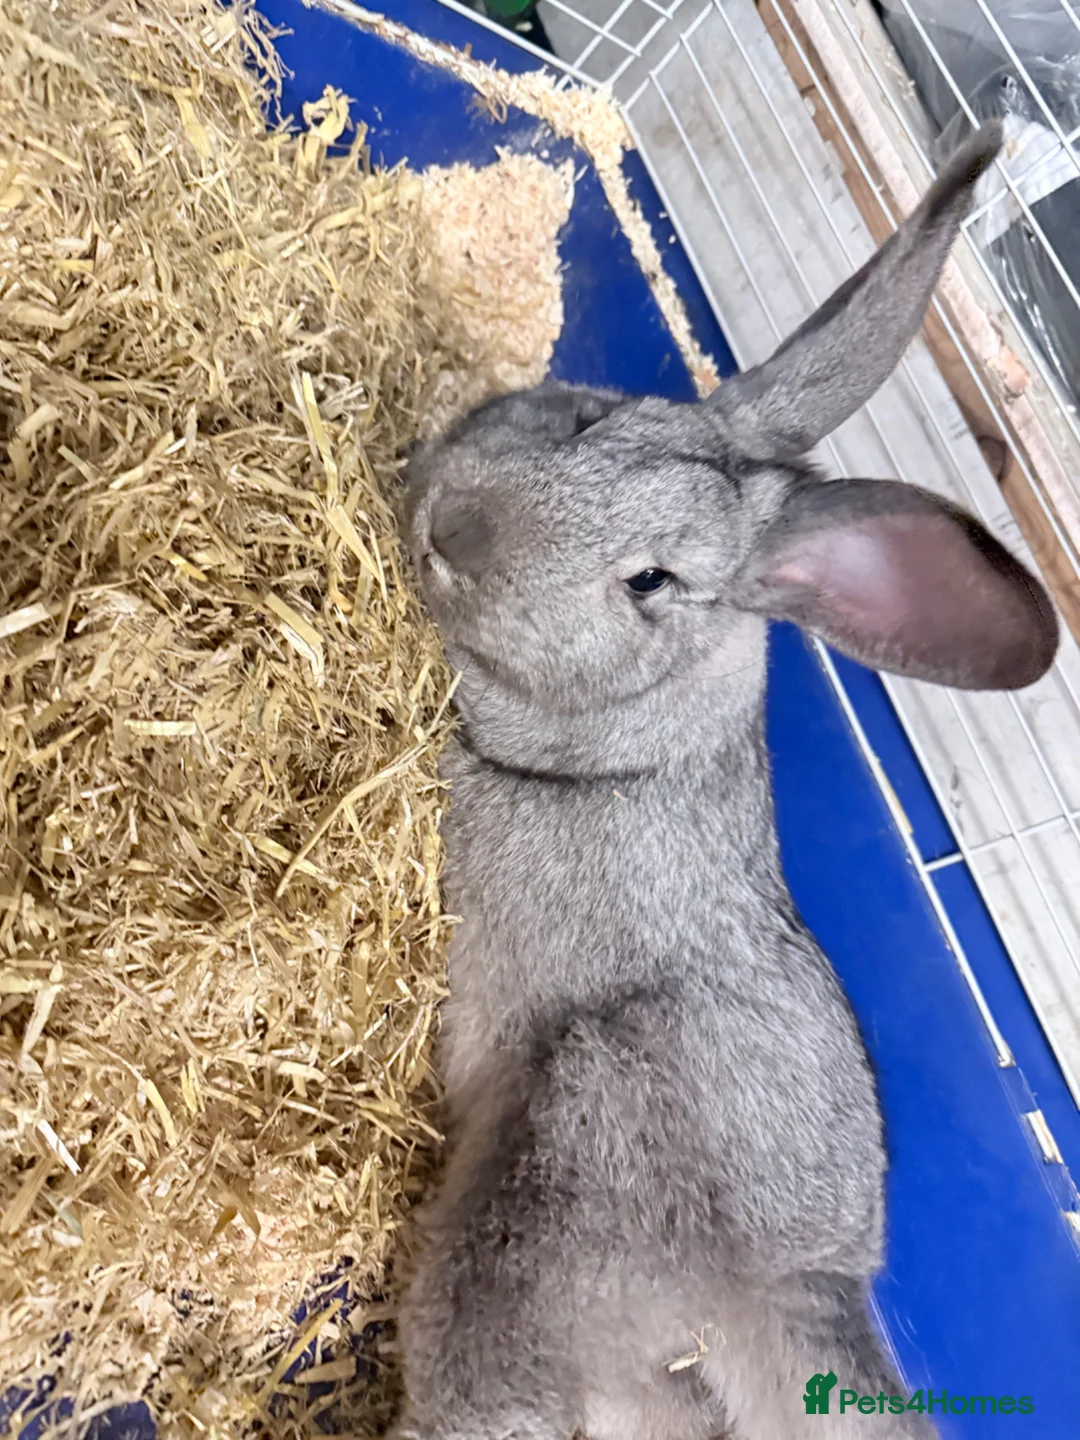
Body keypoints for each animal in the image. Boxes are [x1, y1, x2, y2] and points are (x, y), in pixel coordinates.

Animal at [390, 121, 1057, 1440]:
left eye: (653, 579)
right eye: (587, 418)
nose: (454, 527)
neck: (637, 732)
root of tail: (792, 1288)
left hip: (553, 1184)